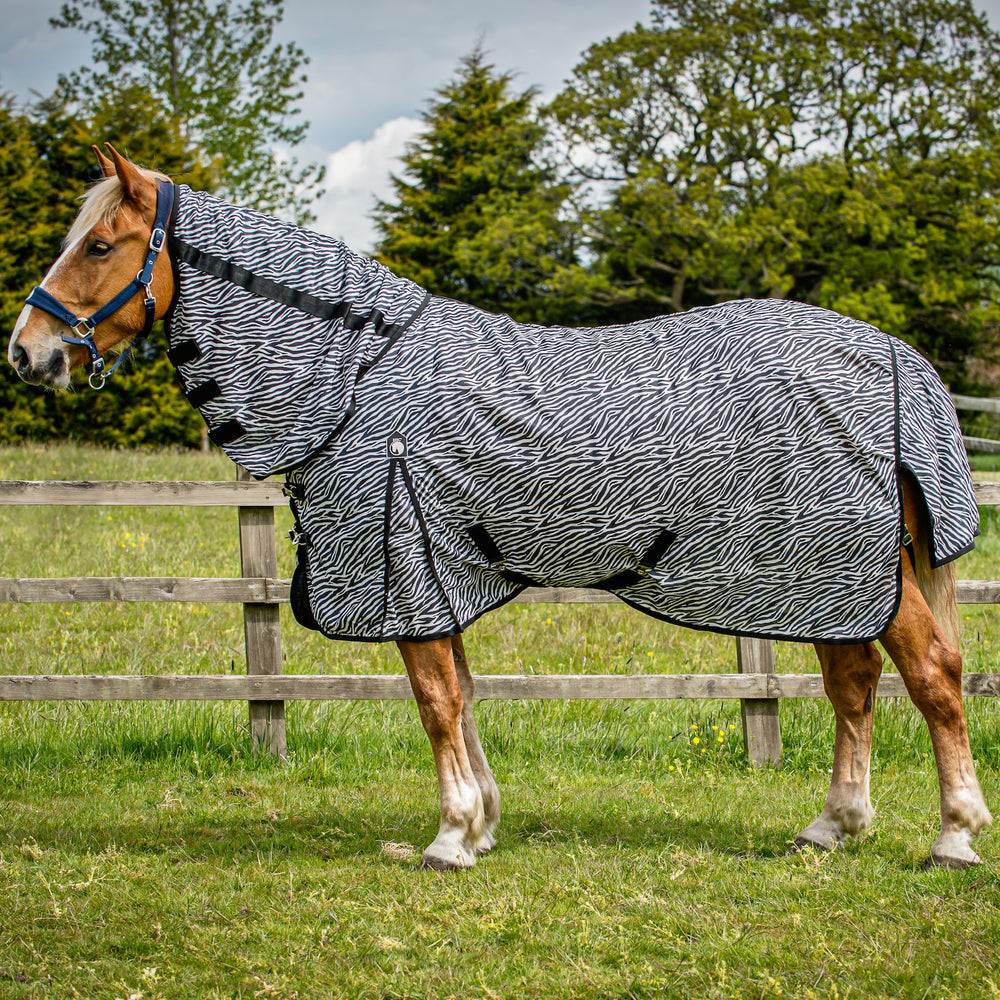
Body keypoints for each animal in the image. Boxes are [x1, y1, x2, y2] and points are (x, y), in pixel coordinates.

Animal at [7, 144, 992, 870]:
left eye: (100, 247)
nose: (27, 351)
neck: (356, 377)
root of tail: (892, 355)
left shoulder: (405, 568)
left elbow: (436, 701)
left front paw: (449, 838)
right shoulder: (439, 575)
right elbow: (465, 695)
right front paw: (479, 823)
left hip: (856, 574)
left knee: (932, 676)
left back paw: (952, 836)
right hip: (826, 580)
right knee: (853, 684)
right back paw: (831, 827)